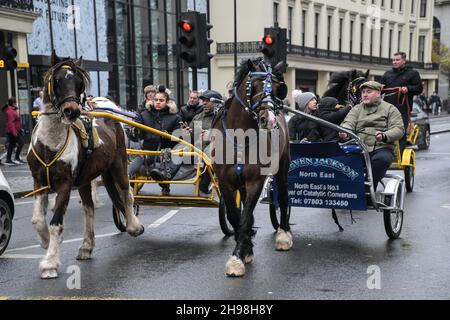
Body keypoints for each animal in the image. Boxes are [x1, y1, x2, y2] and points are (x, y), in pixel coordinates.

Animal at [212, 57, 292, 276]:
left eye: (278, 88)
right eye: (254, 85)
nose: (270, 120)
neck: (240, 138)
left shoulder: (255, 181)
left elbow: (246, 216)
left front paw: (238, 256)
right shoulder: (225, 181)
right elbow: (234, 216)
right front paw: (245, 249)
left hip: (283, 166)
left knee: (283, 197)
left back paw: (284, 234)